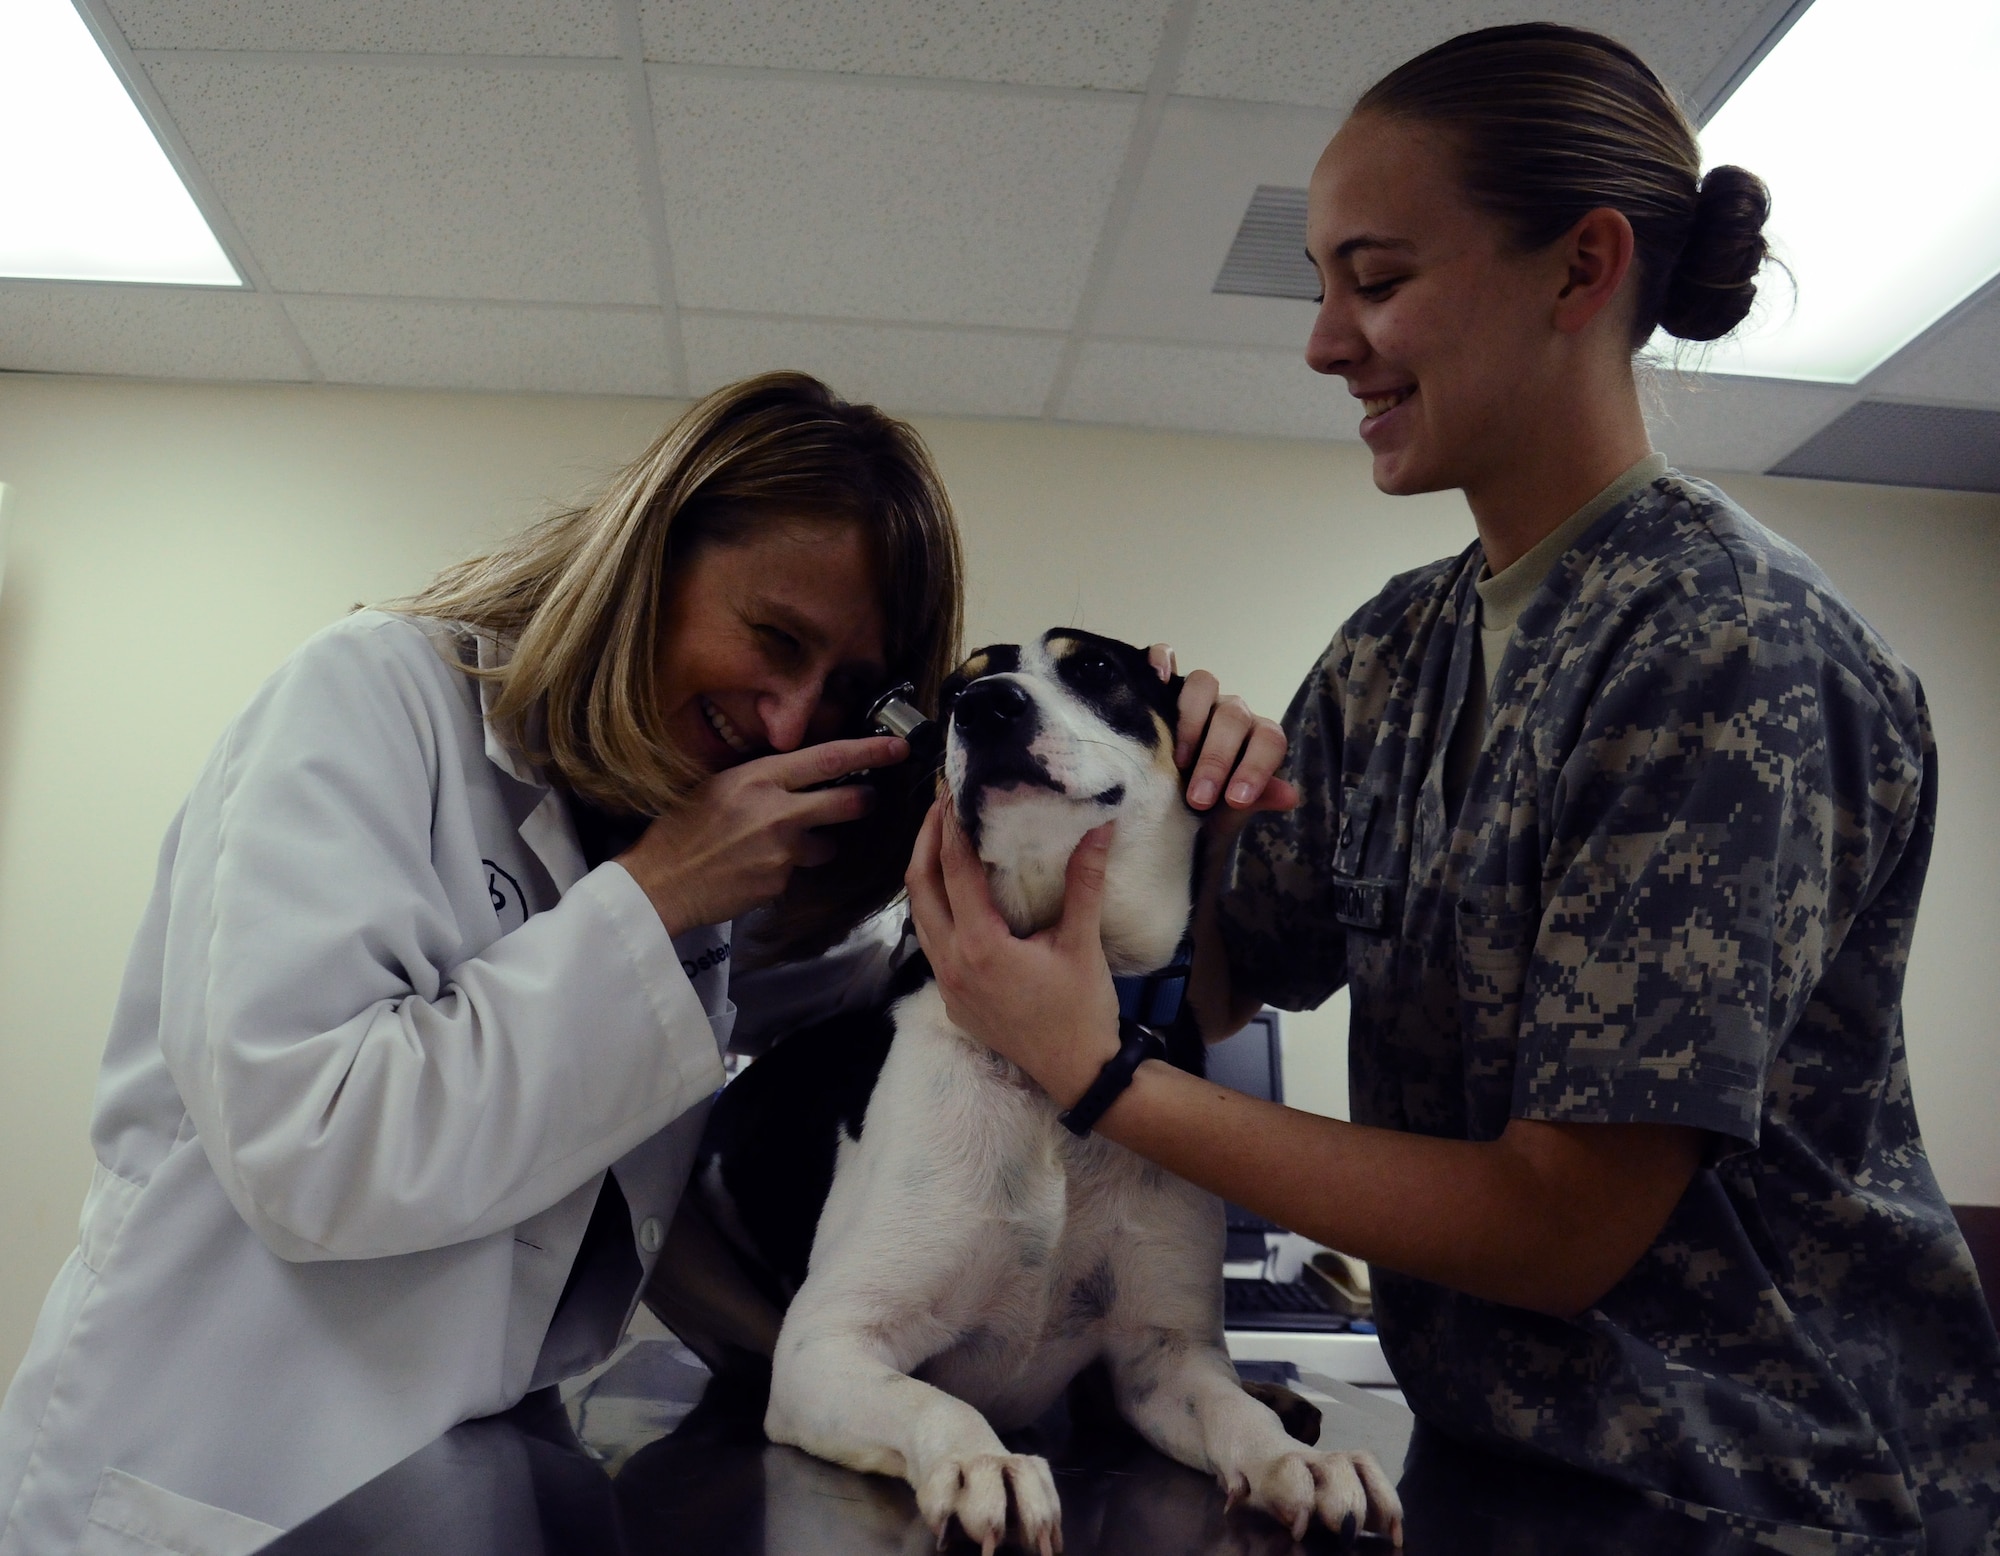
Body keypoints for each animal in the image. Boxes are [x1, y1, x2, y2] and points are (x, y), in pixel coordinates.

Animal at [680, 632, 1400, 1552]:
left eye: (1093, 670)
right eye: (953, 692)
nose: (987, 707)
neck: (1045, 1090)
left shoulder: (1164, 1356)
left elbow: (1231, 1416)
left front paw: (1295, 1461)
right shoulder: (827, 1343)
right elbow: (935, 1401)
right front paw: (981, 1463)